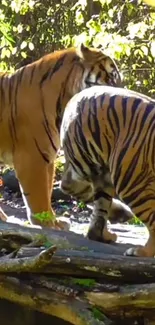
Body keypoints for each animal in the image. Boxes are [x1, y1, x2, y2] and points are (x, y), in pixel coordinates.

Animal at [0, 44, 121, 229]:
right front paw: (46, 223)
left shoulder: (47, 157)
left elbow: (47, 191)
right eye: (112, 76)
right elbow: (38, 195)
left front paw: (55, 222)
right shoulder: (32, 157)